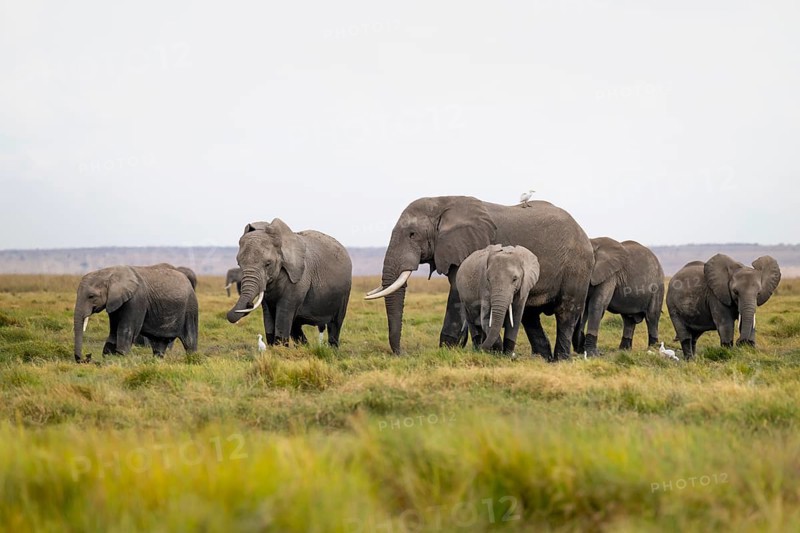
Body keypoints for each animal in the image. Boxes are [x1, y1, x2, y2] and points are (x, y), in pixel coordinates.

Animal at [226, 218, 352, 347]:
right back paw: (305, 347)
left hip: (344, 293)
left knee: (335, 324)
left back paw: (332, 348)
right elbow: (269, 316)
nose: (249, 304)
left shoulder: (300, 278)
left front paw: (279, 348)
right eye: (239, 264)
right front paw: (273, 348)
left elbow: (284, 313)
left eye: (268, 264)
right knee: (296, 327)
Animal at [365, 196, 594, 361]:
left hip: (577, 268)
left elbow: (457, 294)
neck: (442, 203)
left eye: (412, 234)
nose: (402, 354)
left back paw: (561, 360)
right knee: (530, 316)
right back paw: (543, 359)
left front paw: (447, 351)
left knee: (566, 311)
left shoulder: (470, 246)